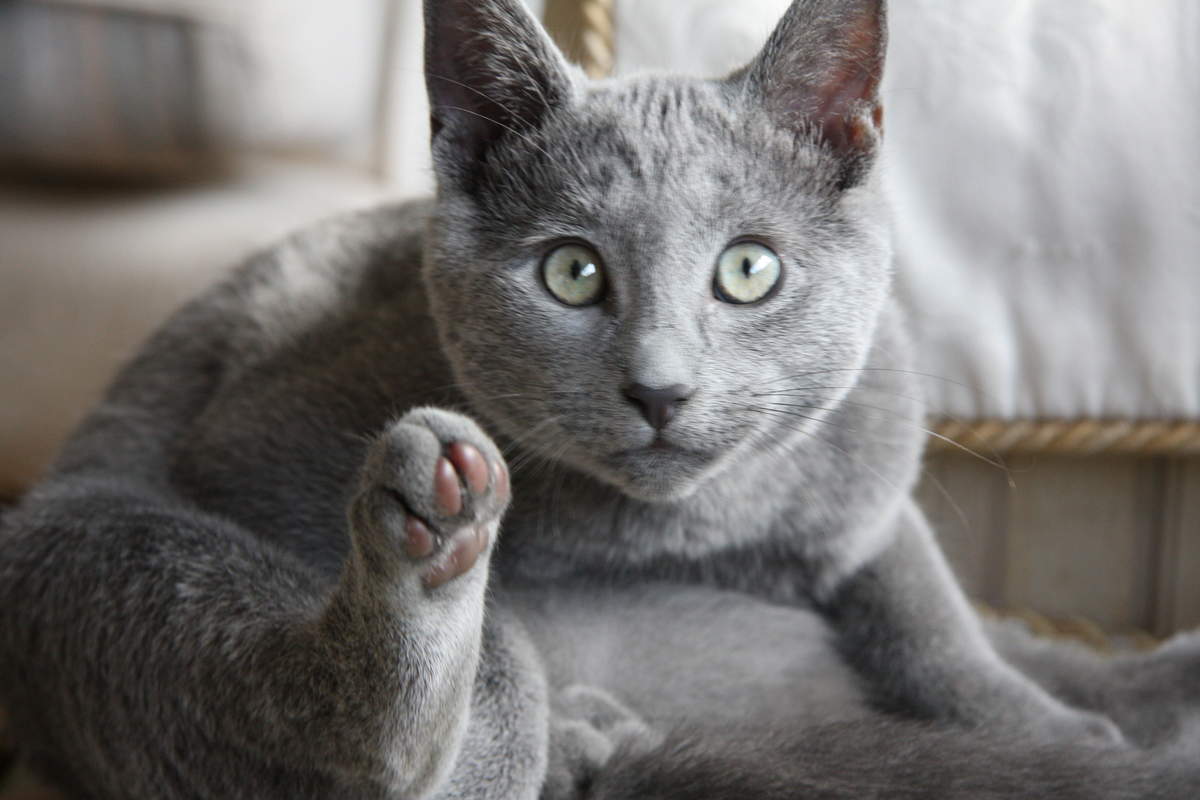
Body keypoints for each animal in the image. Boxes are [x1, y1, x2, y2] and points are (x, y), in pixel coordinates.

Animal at [2, 0, 1200, 796]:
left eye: (750, 270)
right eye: (571, 272)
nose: (661, 388)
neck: (686, 526)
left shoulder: (867, 475)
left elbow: (930, 613)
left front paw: (1042, 723)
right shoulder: (257, 451)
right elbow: (502, 645)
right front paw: (519, 717)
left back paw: (1142, 691)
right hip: (96, 556)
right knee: (343, 725)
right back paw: (467, 606)